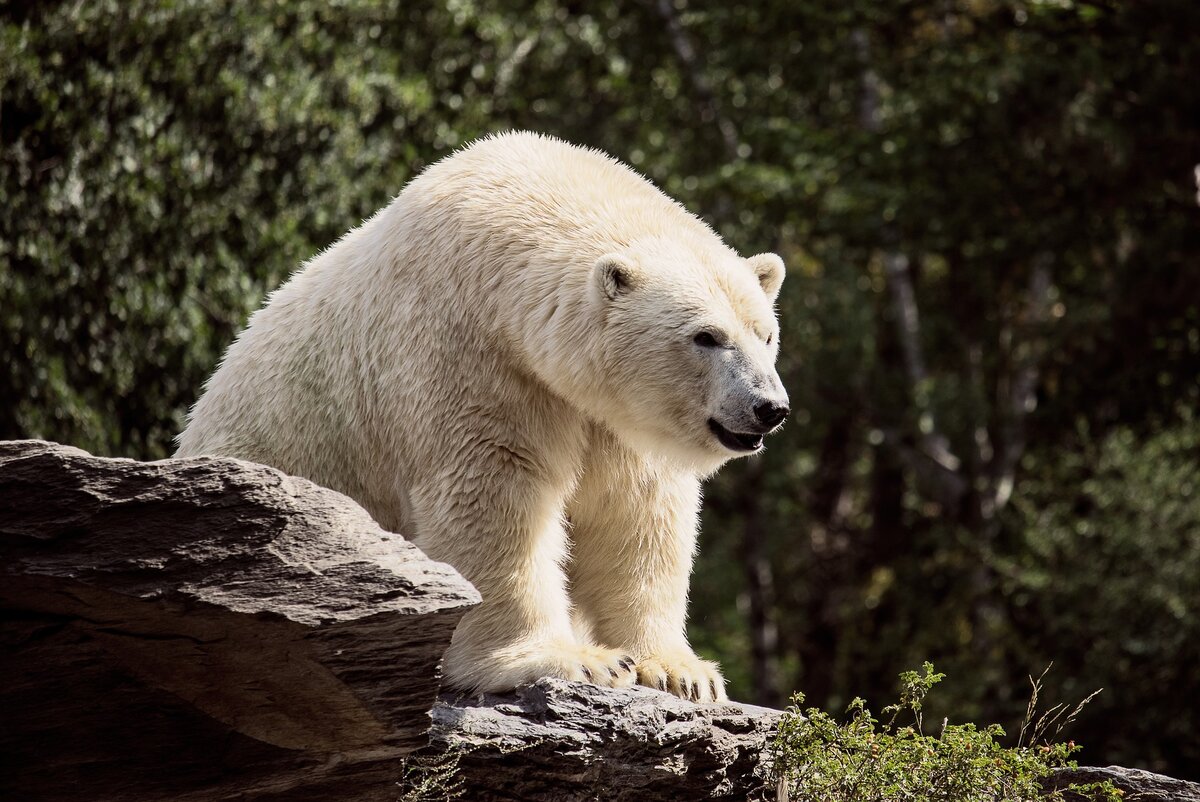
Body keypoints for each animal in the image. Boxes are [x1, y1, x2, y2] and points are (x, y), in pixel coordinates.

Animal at [175, 131, 787, 701]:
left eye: (765, 334)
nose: (769, 408)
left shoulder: (608, 414)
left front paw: (682, 672)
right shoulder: (466, 352)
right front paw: (572, 660)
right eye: (706, 336)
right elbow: (494, 494)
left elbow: (636, 512)